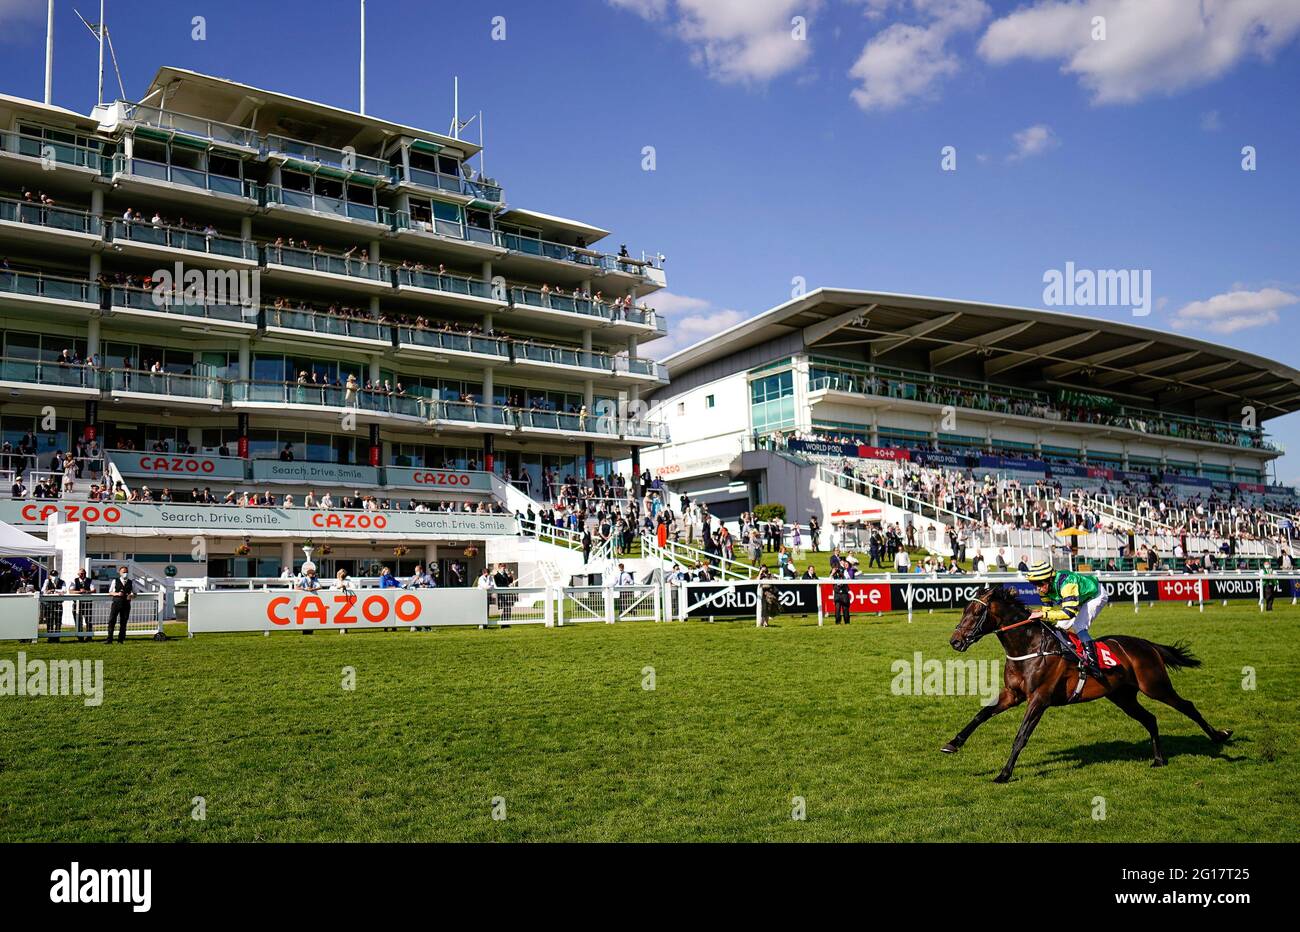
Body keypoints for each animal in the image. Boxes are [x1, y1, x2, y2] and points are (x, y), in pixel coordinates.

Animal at [946, 584, 1227, 779]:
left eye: (977, 611)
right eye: (964, 610)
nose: (955, 641)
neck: (1030, 646)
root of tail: (1146, 644)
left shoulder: (1039, 699)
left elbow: (1021, 736)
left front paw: (1004, 774)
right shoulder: (1013, 694)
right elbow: (982, 714)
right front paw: (953, 744)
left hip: (1155, 685)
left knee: (1187, 706)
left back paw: (1219, 736)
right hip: (1122, 696)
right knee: (1150, 719)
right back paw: (1158, 759)